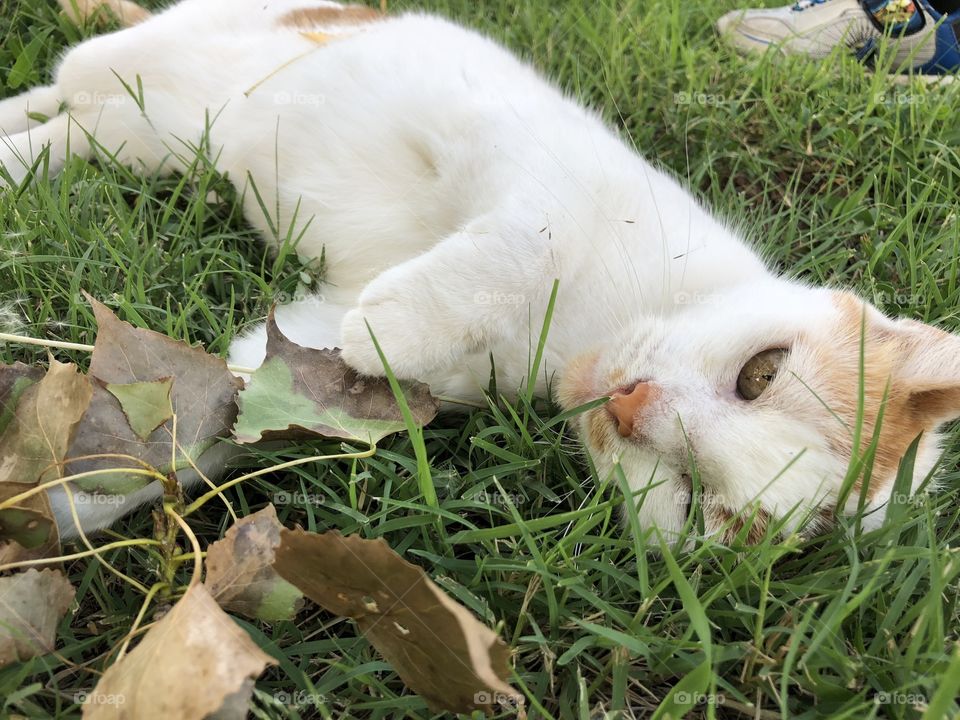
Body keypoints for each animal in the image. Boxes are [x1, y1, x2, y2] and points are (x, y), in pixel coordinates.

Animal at [1, 0, 960, 540]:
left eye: (704, 506)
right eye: (761, 372)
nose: (628, 404)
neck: (572, 341)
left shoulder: (313, 364)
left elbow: (220, 416)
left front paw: (59, 503)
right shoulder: (521, 164)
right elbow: (516, 248)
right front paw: (394, 323)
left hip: (150, 137)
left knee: (67, 132)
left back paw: (18, 156)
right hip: (149, 70)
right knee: (66, 84)